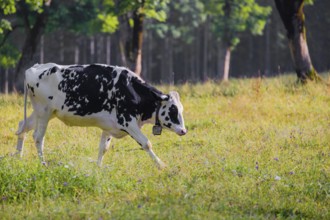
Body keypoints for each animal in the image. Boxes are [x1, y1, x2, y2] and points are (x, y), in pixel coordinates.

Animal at [15, 62, 187, 169]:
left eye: (181, 109)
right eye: (173, 110)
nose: (184, 131)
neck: (130, 89)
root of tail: (36, 67)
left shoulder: (109, 127)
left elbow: (103, 148)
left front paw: (98, 168)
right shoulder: (127, 122)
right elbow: (146, 143)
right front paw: (161, 165)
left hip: (42, 113)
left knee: (22, 127)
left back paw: (18, 157)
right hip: (44, 113)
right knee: (38, 138)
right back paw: (43, 164)